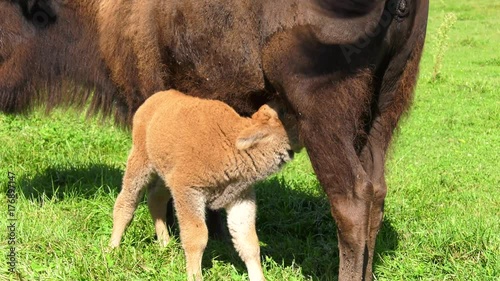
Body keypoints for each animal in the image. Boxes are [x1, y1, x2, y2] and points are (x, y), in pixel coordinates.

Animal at [110, 89, 292, 280]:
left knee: (156, 199)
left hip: (165, 175)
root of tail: (153, 99)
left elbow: (247, 241)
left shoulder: (240, 198)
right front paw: (195, 276)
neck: (230, 142)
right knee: (126, 202)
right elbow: (196, 236)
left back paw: (165, 243)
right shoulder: (189, 192)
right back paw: (112, 248)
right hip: (140, 161)